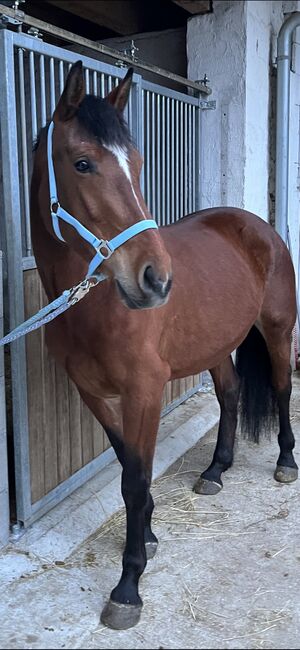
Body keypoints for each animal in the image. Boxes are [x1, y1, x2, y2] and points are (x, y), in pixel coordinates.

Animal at [30, 60, 298, 628]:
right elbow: (128, 468)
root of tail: (256, 225)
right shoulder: (95, 394)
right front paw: (148, 535)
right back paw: (216, 470)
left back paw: (286, 463)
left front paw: (128, 586)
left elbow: (136, 478)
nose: (156, 280)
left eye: (135, 164)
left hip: (278, 330)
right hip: (217, 346)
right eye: (83, 163)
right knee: (230, 392)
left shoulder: (145, 394)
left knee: (283, 388)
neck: (96, 307)